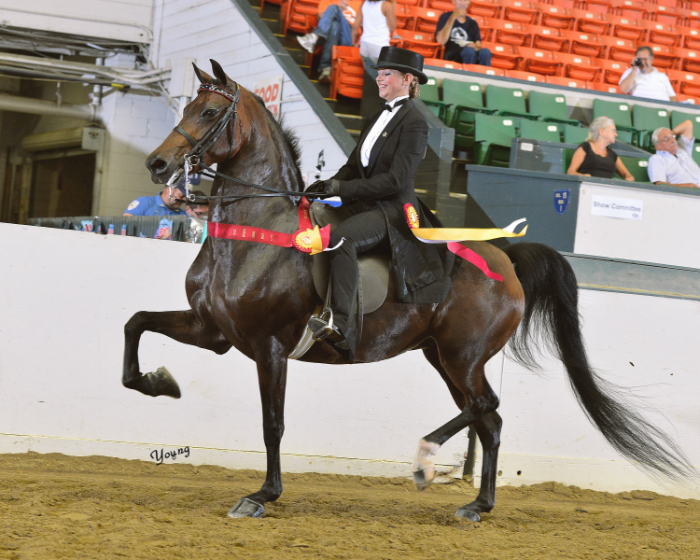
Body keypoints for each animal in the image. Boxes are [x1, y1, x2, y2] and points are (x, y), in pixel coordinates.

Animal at [124, 60, 692, 520]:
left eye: (209, 112)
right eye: (187, 105)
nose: (157, 165)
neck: (257, 232)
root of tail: (504, 259)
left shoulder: (270, 347)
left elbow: (273, 424)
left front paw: (262, 496)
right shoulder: (215, 330)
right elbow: (136, 324)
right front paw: (159, 382)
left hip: (463, 355)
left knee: (486, 405)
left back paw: (425, 460)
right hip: (442, 356)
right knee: (490, 419)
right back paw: (477, 504)